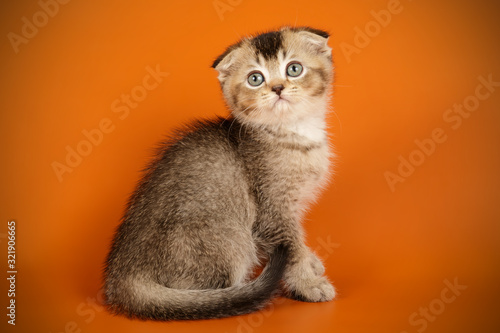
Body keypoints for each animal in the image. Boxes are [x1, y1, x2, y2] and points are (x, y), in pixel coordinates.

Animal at [103, 24, 334, 320]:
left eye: (294, 69)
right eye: (255, 78)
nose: (278, 88)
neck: (293, 134)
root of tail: (123, 275)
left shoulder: (290, 208)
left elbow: (299, 241)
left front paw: (310, 261)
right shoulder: (273, 211)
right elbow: (292, 249)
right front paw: (308, 284)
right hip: (231, 238)